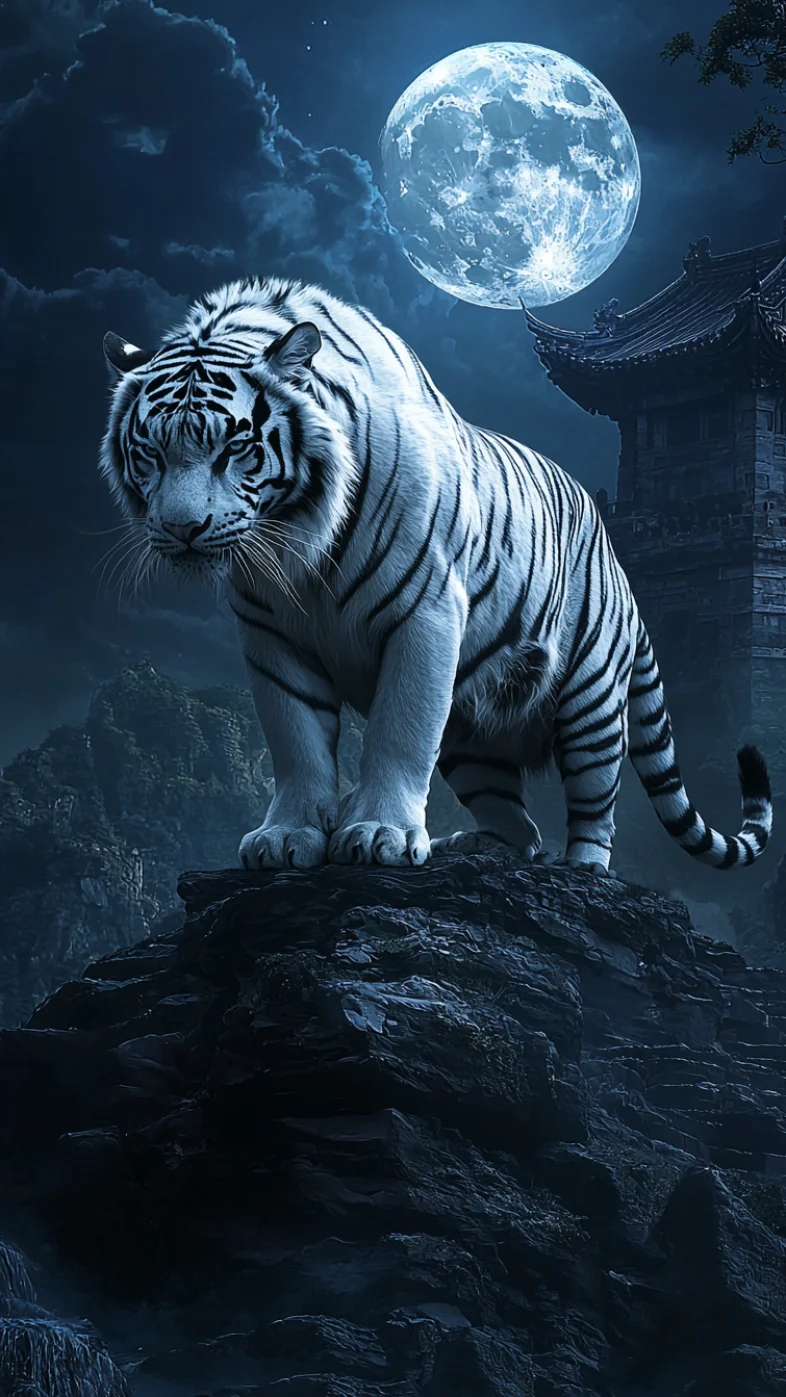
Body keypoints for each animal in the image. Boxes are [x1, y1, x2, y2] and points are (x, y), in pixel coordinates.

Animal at [100, 275, 772, 875]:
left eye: (234, 448)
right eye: (150, 452)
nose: (183, 528)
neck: (298, 541)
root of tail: (619, 565)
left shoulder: (423, 614)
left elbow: (399, 732)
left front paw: (379, 833)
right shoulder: (272, 637)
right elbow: (296, 741)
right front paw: (287, 837)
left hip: (592, 703)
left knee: (593, 810)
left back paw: (579, 870)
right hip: (473, 739)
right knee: (519, 827)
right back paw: (468, 847)